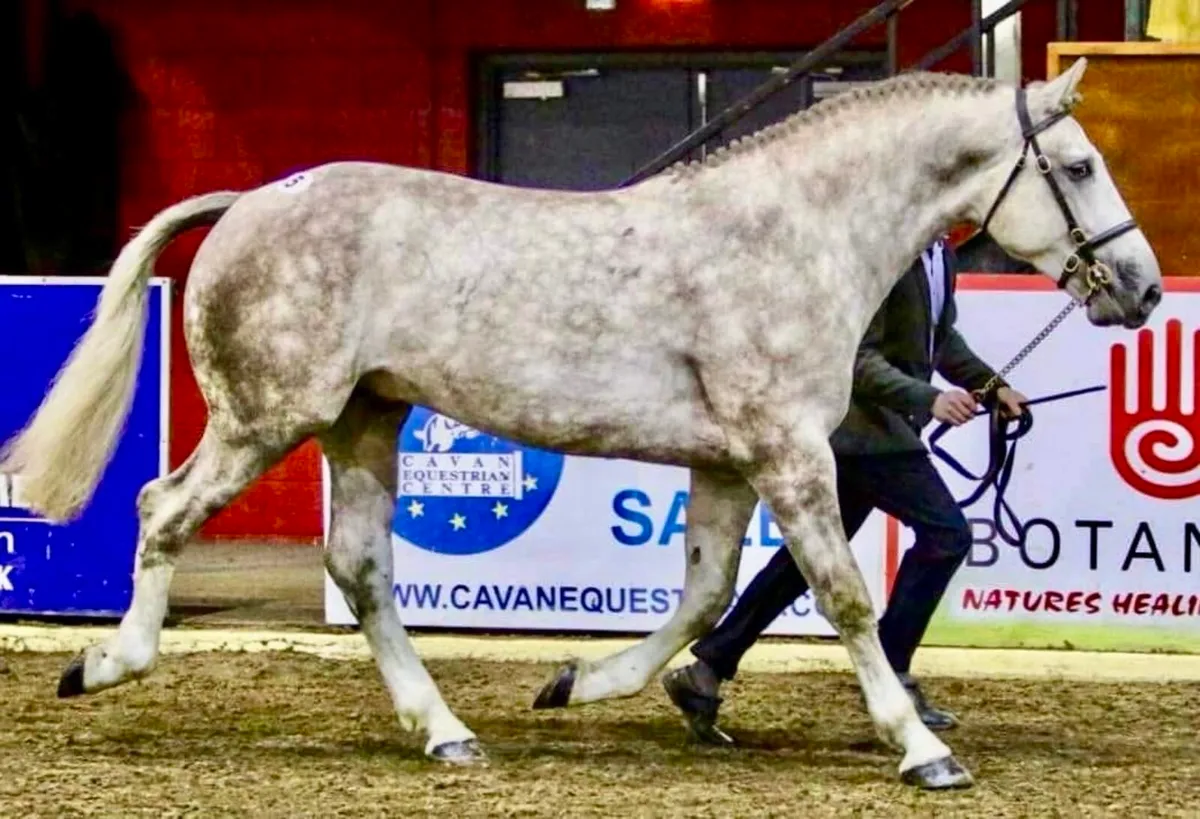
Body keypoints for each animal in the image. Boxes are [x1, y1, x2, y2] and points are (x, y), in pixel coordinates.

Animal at [0, 58, 1160, 789]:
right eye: (1080, 165)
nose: (1144, 290)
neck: (794, 234)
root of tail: (248, 202)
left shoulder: (728, 463)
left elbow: (703, 599)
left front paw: (575, 682)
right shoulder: (788, 452)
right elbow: (843, 599)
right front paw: (922, 749)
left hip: (364, 420)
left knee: (362, 570)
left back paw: (447, 733)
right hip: (267, 418)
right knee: (162, 508)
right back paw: (102, 664)